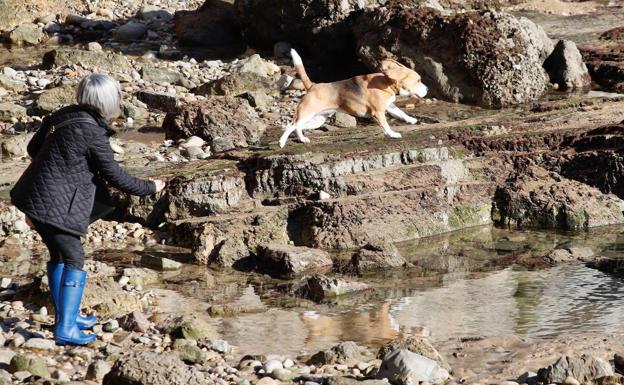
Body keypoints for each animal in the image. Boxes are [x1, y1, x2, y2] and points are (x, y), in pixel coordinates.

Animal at [280, 48, 428, 148]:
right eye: (418, 81)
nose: (427, 89)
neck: (386, 82)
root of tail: (313, 86)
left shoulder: (390, 106)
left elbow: (401, 113)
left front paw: (411, 120)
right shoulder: (378, 112)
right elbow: (386, 125)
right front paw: (392, 134)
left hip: (317, 120)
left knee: (298, 127)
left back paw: (302, 139)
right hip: (306, 113)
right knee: (290, 125)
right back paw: (281, 142)